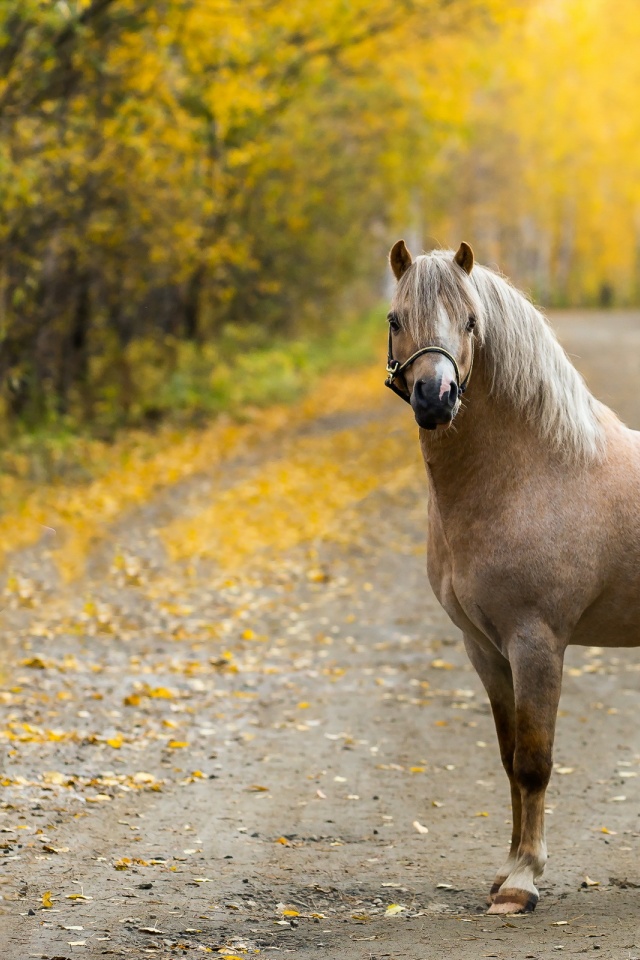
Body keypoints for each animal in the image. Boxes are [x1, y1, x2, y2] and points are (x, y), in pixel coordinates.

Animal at [384, 240, 640, 916]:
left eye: (472, 322)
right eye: (396, 319)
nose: (436, 397)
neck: (534, 472)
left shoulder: (537, 642)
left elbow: (533, 760)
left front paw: (523, 882)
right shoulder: (484, 647)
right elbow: (506, 758)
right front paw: (505, 872)